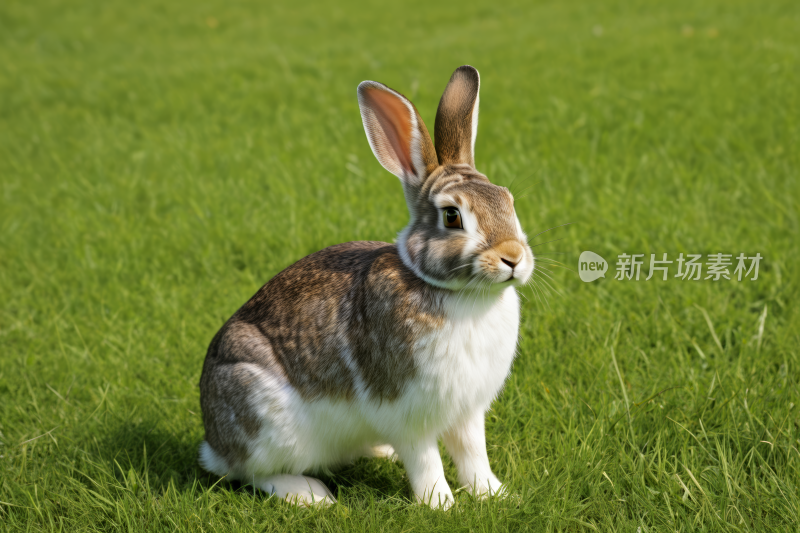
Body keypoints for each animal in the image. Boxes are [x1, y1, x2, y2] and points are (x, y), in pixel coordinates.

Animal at [199, 65, 536, 508]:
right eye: (452, 216)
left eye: (508, 201)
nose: (513, 257)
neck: (460, 295)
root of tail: (212, 442)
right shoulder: (406, 411)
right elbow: (426, 459)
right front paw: (441, 505)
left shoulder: (467, 410)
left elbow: (472, 454)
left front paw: (496, 495)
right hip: (262, 413)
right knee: (252, 473)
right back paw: (311, 495)